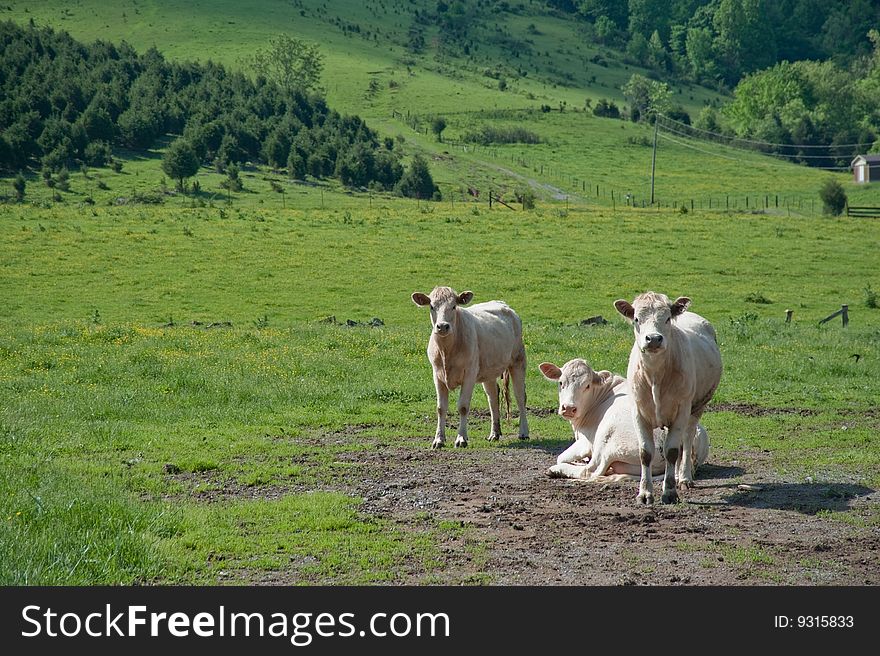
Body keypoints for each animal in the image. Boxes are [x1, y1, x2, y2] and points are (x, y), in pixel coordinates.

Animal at [414, 284, 528, 448]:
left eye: (454, 306)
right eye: (431, 306)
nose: (442, 326)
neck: (446, 350)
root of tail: (504, 305)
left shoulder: (469, 373)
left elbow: (463, 406)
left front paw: (461, 438)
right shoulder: (437, 375)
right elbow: (441, 408)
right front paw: (438, 440)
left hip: (518, 360)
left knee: (520, 396)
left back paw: (523, 432)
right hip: (489, 370)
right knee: (493, 397)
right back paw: (494, 433)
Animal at [536, 358, 708, 482]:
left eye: (587, 385)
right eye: (561, 383)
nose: (568, 408)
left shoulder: (586, 441)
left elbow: (561, 457)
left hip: (608, 436)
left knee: (591, 470)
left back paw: (556, 470)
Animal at [612, 294, 720, 504]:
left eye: (668, 318)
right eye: (636, 319)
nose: (653, 338)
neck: (655, 376)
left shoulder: (681, 410)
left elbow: (671, 451)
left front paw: (669, 492)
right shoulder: (638, 412)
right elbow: (645, 453)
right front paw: (645, 493)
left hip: (696, 408)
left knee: (686, 440)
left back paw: (684, 478)